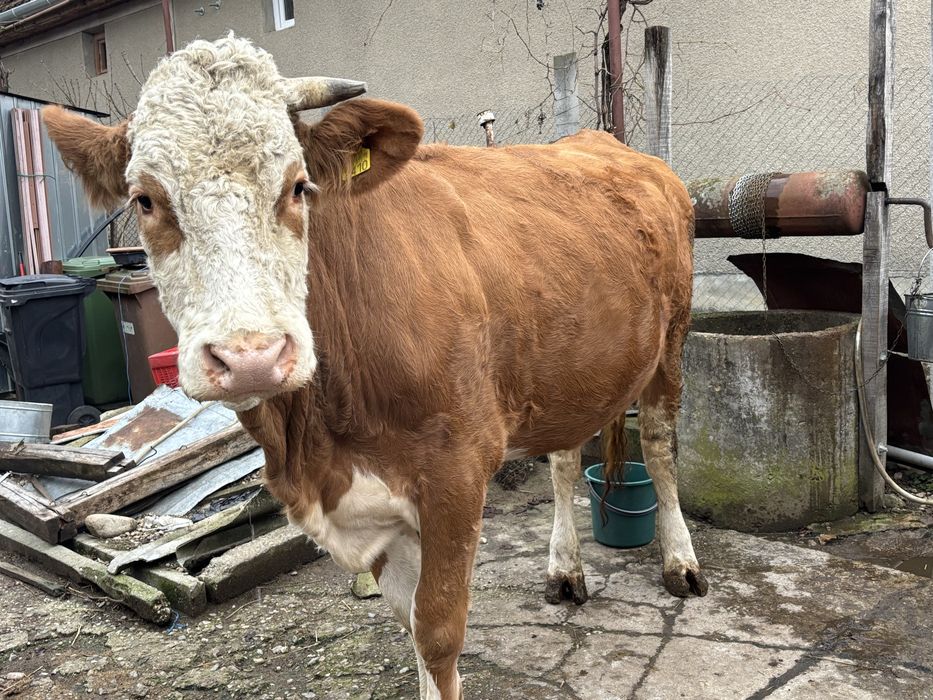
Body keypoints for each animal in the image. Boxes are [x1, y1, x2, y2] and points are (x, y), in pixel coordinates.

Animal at [43, 35, 706, 700]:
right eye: (144, 200)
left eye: (298, 186)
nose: (252, 358)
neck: (316, 438)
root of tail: (608, 144)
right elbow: (410, 625)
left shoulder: (457, 475)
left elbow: (437, 632)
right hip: (569, 370)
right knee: (567, 457)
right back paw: (565, 567)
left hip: (671, 341)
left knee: (660, 446)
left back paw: (680, 561)